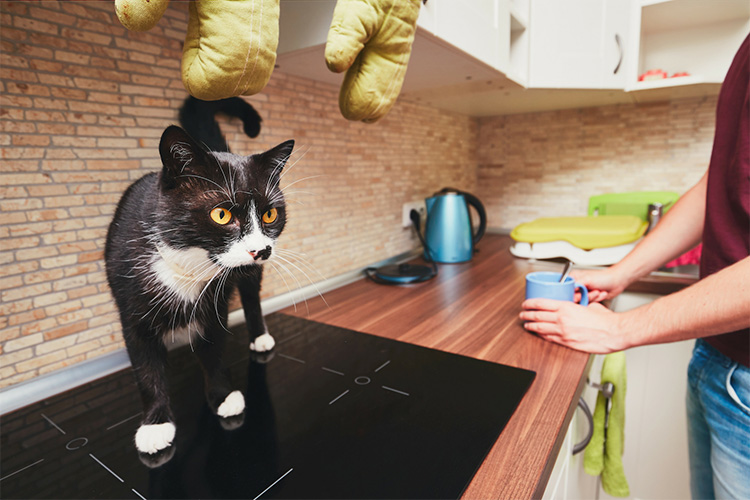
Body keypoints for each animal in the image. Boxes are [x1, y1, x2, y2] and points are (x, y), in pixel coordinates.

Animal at [106, 110, 294, 458]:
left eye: (270, 214)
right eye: (221, 215)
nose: (261, 249)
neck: (189, 264)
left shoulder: (215, 304)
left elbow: (214, 348)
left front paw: (222, 396)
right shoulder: (131, 305)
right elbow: (145, 366)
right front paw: (155, 425)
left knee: (251, 296)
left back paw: (260, 336)